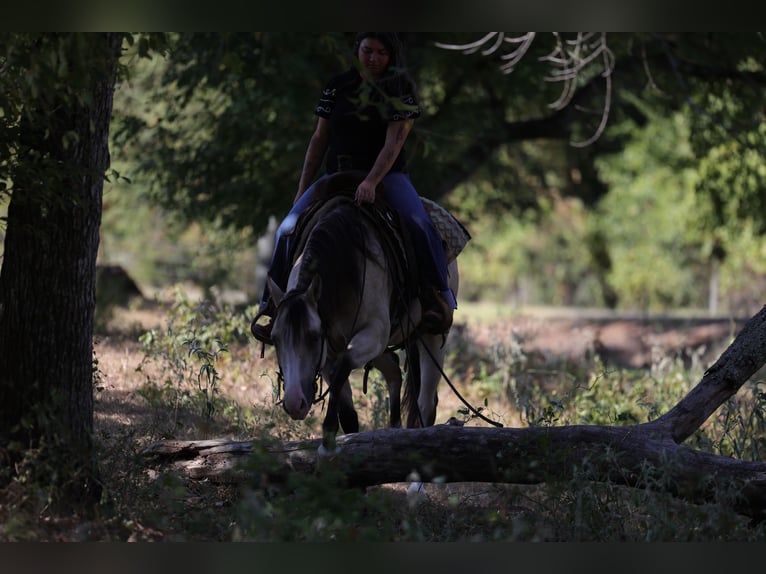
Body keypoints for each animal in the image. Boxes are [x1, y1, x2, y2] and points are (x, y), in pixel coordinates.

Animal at [266, 183, 461, 455]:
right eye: (275, 339)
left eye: (313, 337)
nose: (295, 403)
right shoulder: (331, 350)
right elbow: (347, 409)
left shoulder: (372, 334)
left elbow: (343, 367)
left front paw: (327, 438)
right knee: (394, 371)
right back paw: (394, 429)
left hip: (431, 337)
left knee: (425, 404)